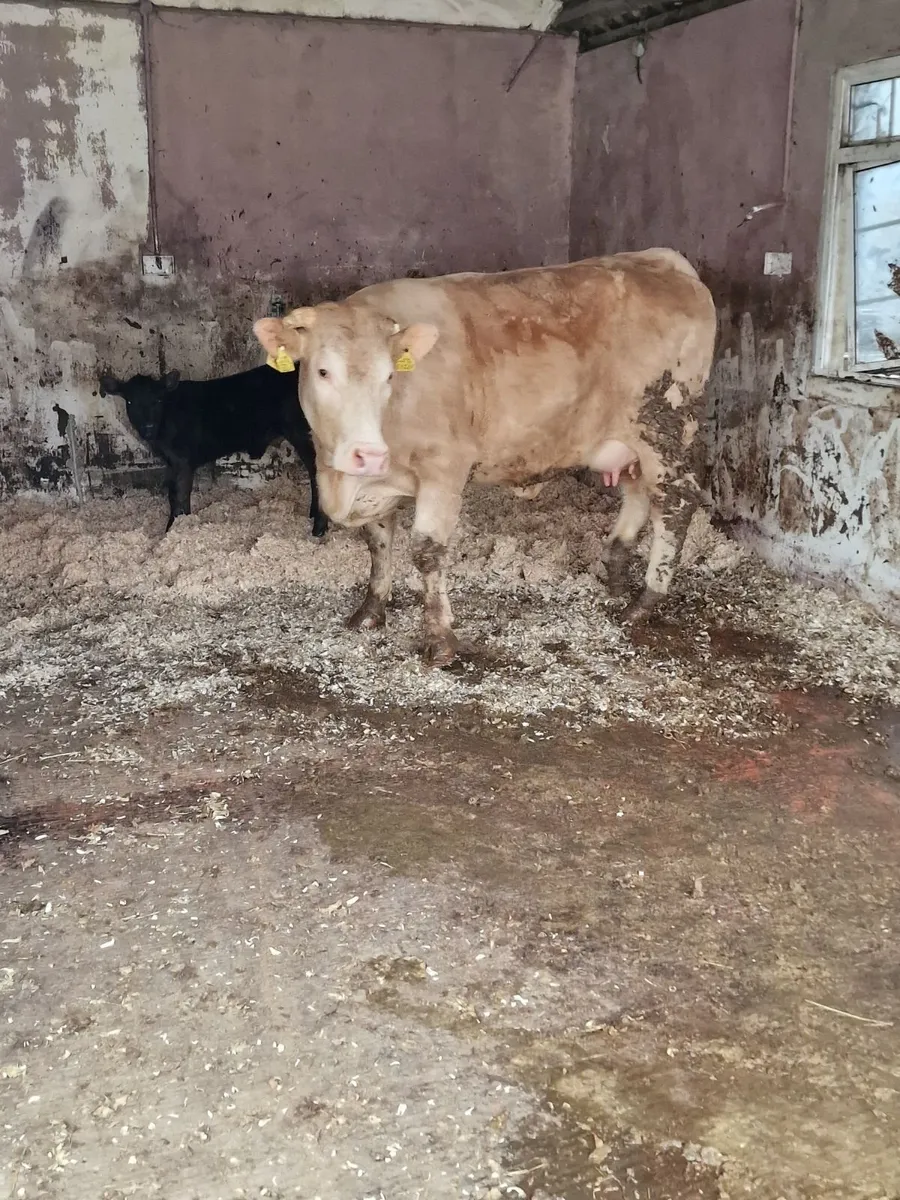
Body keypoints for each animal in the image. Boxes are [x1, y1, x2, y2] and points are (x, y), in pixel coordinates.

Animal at [98, 365, 328, 537]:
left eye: (158, 400)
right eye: (130, 401)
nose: (147, 428)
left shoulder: (182, 460)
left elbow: (180, 494)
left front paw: (174, 527)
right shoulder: (171, 462)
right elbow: (173, 494)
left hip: (303, 433)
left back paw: (319, 527)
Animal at [252, 250, 716, 666]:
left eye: (389, 375)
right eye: (323, 371)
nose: (368, 454)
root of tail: (663, 261)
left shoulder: (444, 468)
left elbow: (426, 551)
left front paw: (440, 639)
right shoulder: (376, 484)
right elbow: (378, 542)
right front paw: (370, 611)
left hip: (667, 429)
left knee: (675, 504)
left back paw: (646, 599)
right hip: (629, 441)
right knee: (638, 493)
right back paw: (617, 571)